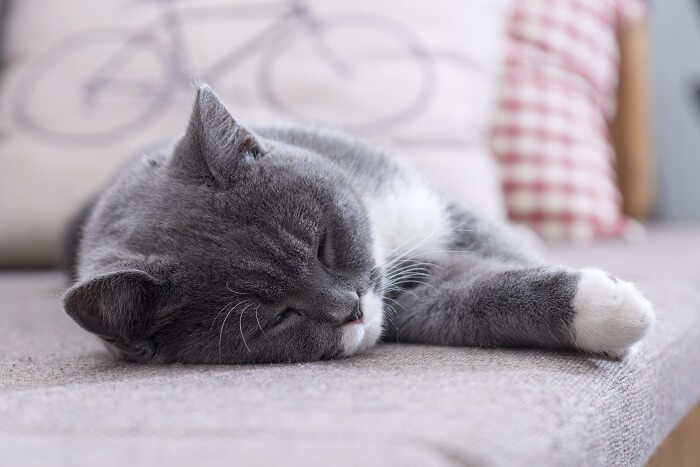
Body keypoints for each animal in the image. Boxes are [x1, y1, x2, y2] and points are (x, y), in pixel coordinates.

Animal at [63, 85, 652, 366]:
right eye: (276, 317)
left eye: (323, 243)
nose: (351, 308)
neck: (388, 242)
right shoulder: (415, 302)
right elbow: (478, 297)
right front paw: (611, 315)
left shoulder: (437, 208)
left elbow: (500, 243)